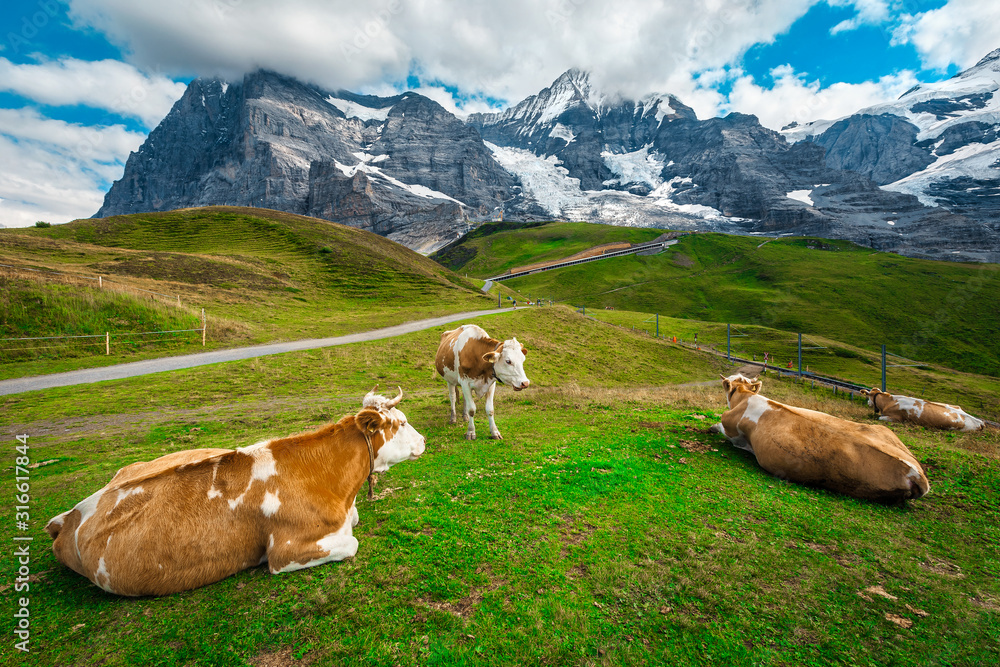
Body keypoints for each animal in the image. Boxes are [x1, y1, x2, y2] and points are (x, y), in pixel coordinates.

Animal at [47, 384, 424, 596]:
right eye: (402, 422)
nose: (423, 440)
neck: (337, 486)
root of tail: (69, 516)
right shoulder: (286, 551)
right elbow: (352, 543)